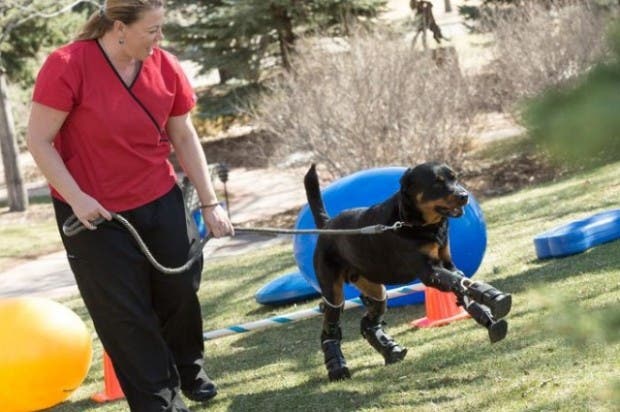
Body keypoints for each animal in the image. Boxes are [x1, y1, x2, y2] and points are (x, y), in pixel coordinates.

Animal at [306, 163, 512, 382]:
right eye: (437, 182)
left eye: (454, 178)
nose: (464, 195)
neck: (413, 222)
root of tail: (327, 226)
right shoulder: (429, 271)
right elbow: (457, 282)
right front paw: (493, 298)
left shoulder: (448, 264)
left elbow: (461, 283)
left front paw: (487, 312)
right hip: (332, 289)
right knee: (331, 325)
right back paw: (337, 367)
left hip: (373, 285)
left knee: (371, 317)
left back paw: (391, 351)